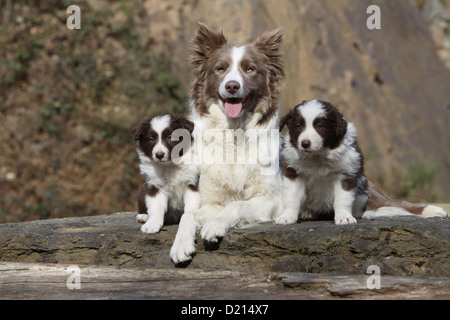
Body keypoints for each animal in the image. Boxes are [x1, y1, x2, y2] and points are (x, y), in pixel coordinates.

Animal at [278, 100, 446, 225]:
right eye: (298, 126)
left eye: (319, 126)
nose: (305, 143)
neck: (318, 156)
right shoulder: (293, 172)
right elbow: (291, 197)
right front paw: (287, 217)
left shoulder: (347, 173)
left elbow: (343, 199)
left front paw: (344, 218)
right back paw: (308, 213)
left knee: (397, 204)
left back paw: (433, 210)